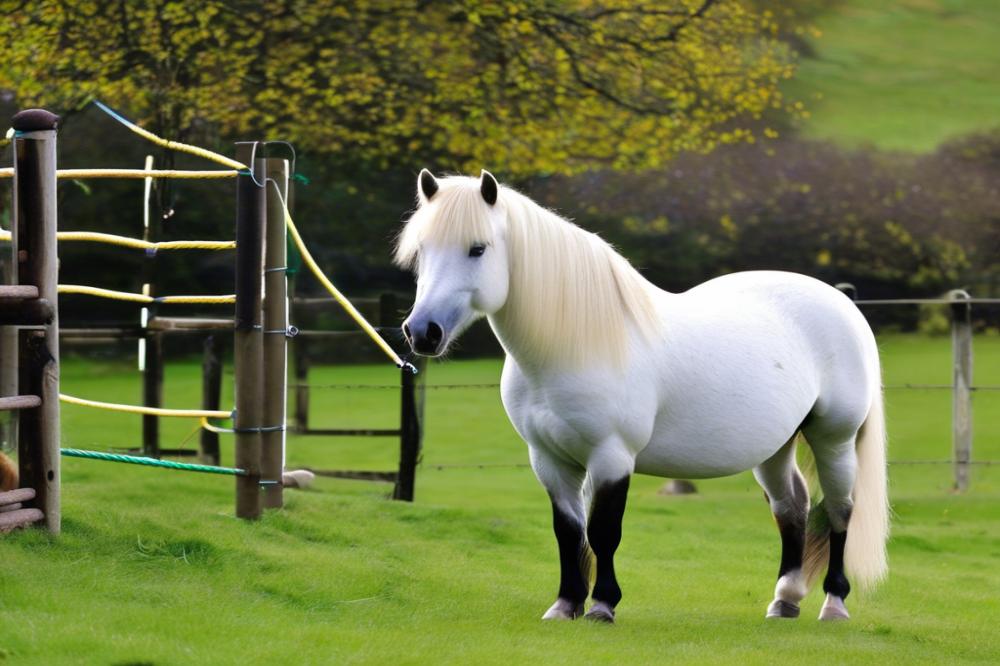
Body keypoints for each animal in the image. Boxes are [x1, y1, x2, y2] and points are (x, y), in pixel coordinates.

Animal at [394, 170, 888, 624]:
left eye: (477, 248)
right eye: (422, 250)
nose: (422, 332)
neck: (577, 342)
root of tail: (842, 303)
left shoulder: (612, 457)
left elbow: (603, 532)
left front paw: (602, 606)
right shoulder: (549, 459)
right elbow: (568, 531)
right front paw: (565, 605)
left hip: (834, 439)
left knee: (839, 510)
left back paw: (834, 603)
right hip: (775, 447)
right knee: (792, 508)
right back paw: (785, 599)